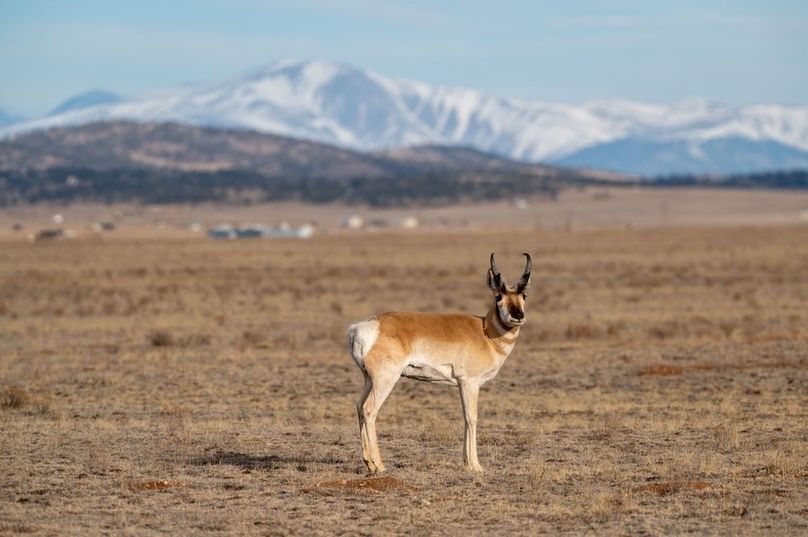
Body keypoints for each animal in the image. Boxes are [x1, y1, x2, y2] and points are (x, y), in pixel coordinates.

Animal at [347, 253, 532, 473]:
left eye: (524, 295)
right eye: (498, 296)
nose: (518, 316)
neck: (485, 331)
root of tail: (363, 327)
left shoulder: (461, 385)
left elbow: (464, 417)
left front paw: (466, 463)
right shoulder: (470, 384)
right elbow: (472, 417)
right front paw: (476, 465)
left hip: (369, 380)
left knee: (359, 406)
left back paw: (368, 462)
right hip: (385, 381)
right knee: (369, 410)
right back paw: (380, 465)